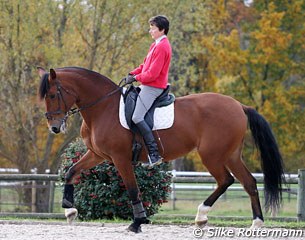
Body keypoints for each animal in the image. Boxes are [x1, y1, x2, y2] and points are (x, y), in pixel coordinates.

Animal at [37, 67, 282, 232]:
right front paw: (69, 210)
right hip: (231, 155)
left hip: (212, 155)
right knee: (248, 182)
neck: (103, 108)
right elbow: (71, 171)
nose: (54, 127)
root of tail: (239, 105)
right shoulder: (97, 155)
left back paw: (202, 215)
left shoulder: (120, 158)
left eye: (52, 95)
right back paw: (256, 224)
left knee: (226, 180)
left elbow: (132, 189)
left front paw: (138, 222)